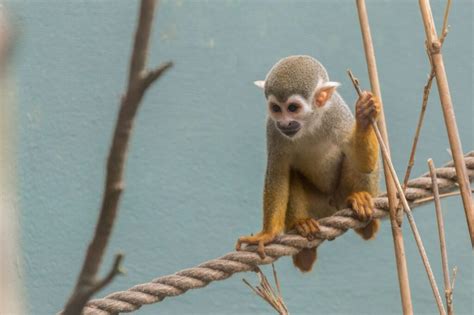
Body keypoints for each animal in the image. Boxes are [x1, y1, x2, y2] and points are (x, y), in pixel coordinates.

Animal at [237, 55, 382, 272]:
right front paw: (268, 234)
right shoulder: (272, 128)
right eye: (276, 109)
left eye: (293, 108)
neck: (309, 123)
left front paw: (364, 116)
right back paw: (302, 226)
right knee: (292, 173)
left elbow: (363, 162)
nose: (285, 123)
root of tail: (332, 209)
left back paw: (362, 207)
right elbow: (278, 173)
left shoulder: (336, 113)